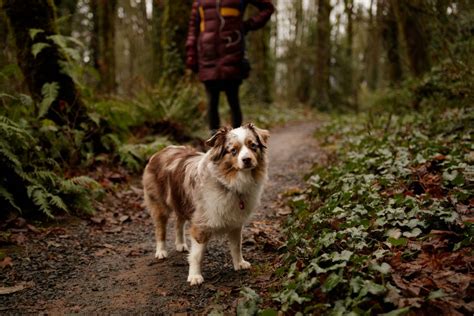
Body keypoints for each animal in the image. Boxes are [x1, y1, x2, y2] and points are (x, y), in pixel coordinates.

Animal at [141, 124, 268, 286]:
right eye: (233, 150)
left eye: (253, 146)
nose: (247, 160)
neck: (228, 183)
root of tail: (161, 150)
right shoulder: (201, 224)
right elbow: (197, 255)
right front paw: (195, 276)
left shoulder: (235, 222)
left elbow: (236, 246)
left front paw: (239, 263)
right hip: (160, 205)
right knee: (160, 229)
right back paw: (161, 251)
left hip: (182, 202)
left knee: (178, 223)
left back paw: (180, 244)